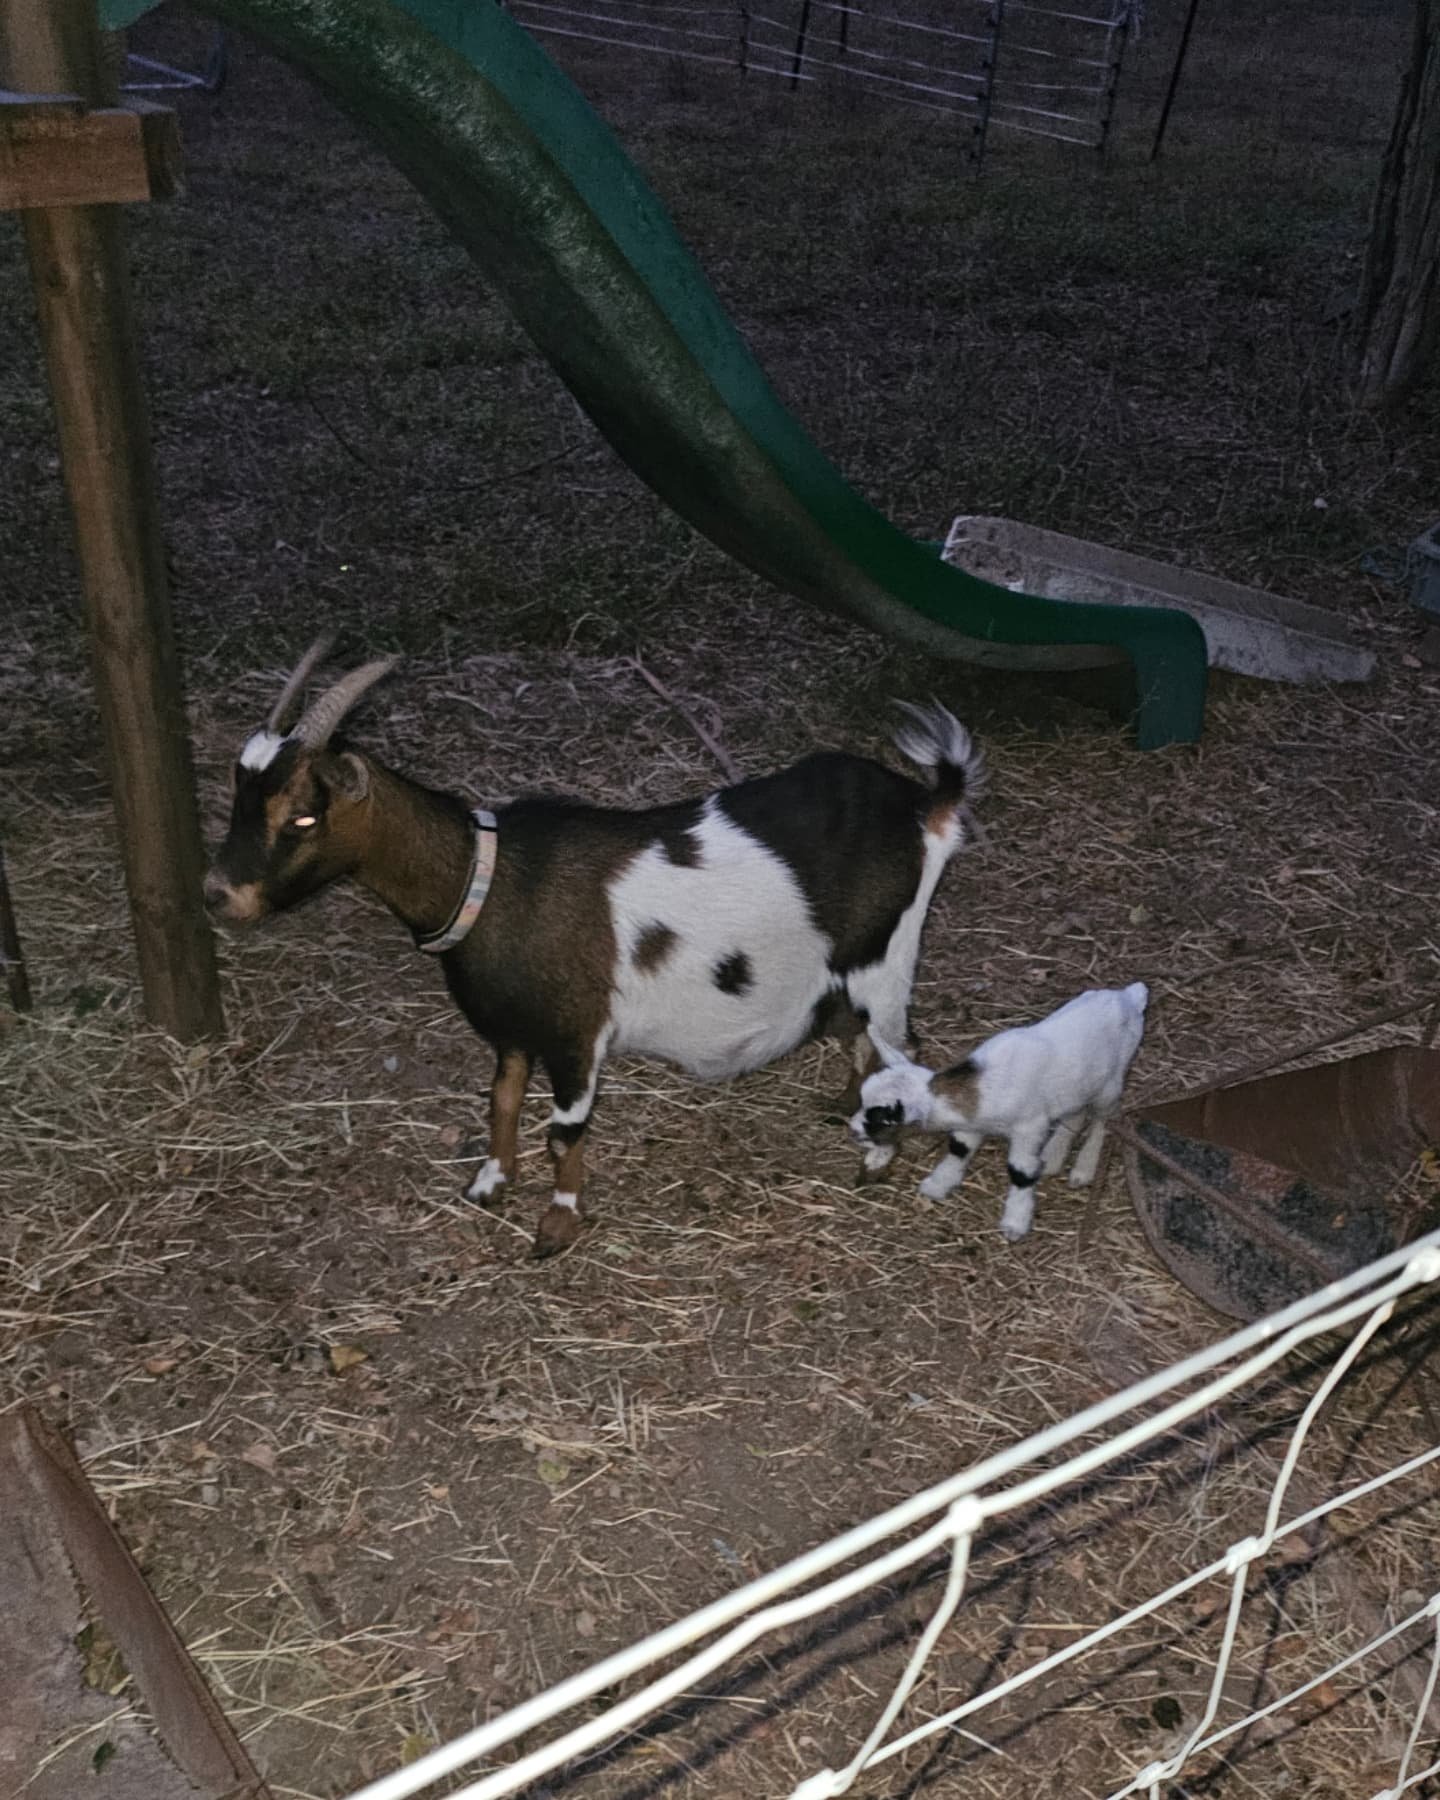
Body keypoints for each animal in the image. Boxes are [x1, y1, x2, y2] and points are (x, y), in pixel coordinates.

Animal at [205, 640, 984, 1256]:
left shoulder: (577, 1034)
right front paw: (490, 1182)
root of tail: (928, 806)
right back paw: (847, 1104)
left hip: (886, 957)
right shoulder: (512, 1030)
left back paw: (877, 1159)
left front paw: (557, 1226)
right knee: (860, 1038)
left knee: (899, 1044)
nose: (219, 895)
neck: (491, 880)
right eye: (240, 793)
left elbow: (565, 1130)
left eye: (304, 815)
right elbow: (502, 1102)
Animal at [850, 983, 1148, 1242]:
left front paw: (1015, 1223)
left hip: (1111, 1083)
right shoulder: (972, 1124)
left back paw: (1083, 1168)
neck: (981, 1089)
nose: (852, 1129)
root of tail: (1129, 996)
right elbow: (959, 1148)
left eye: (882, 1119)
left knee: (1104, 1119)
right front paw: (937, 1185)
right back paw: (1053, 1157)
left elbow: (1020, 1171)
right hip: (1079, 1087)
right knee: (1076, 1114)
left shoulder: (1030, 1127)